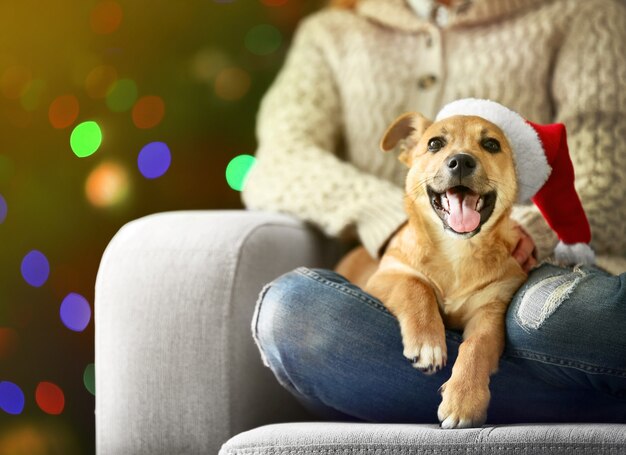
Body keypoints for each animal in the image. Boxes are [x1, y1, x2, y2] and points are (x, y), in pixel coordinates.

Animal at [336, 112, 528, 430]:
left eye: (491, 144)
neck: (456, 251)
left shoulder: (491, 309)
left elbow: (476, 345)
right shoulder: (386, 276)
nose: (461, 161)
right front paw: (428, 343)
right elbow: (417, 286)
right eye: (435, 144)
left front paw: (464, 399)